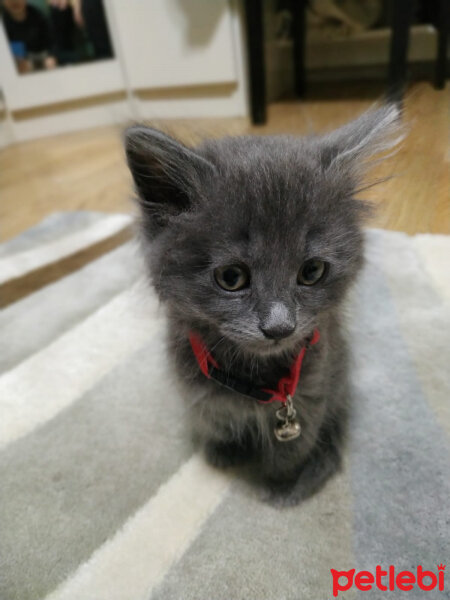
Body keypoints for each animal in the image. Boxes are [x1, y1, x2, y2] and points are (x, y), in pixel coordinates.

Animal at [123, 104, 400, 506]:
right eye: (231, 277)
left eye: (312, 271)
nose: (280, 327)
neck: (250, 376)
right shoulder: (197, 388)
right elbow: (215, 419)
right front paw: (223, 451)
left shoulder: (312, 391)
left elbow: (293, 447)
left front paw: (282, 484)